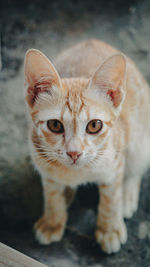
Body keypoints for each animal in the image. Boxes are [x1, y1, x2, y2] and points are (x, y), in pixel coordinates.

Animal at [24, 39, 150, 253]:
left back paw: (127, 195)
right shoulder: (42, 163)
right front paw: (52, 221)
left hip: (141, 139)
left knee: (135, 167)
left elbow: (111, 198)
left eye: (94, 125)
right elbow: (51, 194)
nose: (74, 153)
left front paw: (109, 229)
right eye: (55, 125)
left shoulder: (115, 163)